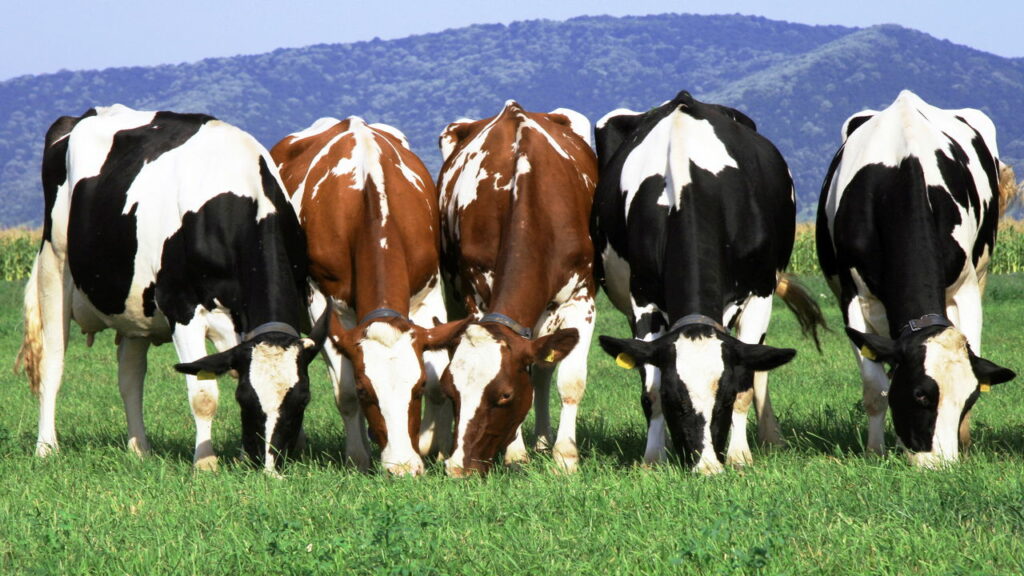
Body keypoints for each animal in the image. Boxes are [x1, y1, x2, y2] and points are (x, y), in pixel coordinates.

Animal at [16, 104, 328, 472]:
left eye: (303, 399)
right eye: (245, 399)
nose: (269, 469)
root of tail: (83, 115)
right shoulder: (183, 307)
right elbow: (204, 395)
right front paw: (206, 464)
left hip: (134, 305)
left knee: (130, 377)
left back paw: (140, 448)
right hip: (55, 264)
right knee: (53, 361)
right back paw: (46, 447)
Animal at [271, 117, 467, 476]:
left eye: (416, 387)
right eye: (367, 390)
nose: (402, 468)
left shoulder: (428, 294)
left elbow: (438, 381)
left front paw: (431, 447)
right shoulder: (325, 305)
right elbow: (345, 393)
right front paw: (357, 457)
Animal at [437, 101, 597, 477]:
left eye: (505, 395)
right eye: (451, 393)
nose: (458, 467)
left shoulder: (581, 300)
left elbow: (570, 380)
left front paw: (565, 457)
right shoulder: (476, 297)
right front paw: (515, 453)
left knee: (543, 371)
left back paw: (543, 442)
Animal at [592, 91, 825, 474]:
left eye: (724, 398)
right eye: (675, 399)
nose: (707, 466)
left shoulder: (760, 293)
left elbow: (748, 379)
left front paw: (739, 456)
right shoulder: (642, 297)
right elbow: (650, 384)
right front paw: (653, 458)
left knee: (760, 367)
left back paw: (770, 438)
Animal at [817, 89, 1015, 467]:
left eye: (969, 399)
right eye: (920, 395)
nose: (941, 465)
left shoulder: (967, 288)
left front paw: (963, 443)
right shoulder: (854, 297)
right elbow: (875, 387)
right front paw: (876, 450)